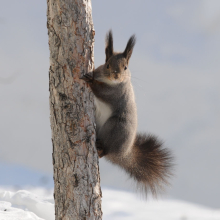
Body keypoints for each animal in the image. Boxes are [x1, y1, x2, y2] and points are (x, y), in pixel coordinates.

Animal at [81, 30, 174, 195]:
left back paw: (101, 148)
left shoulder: (116, 93)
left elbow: (101, 91)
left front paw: (91, 81)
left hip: (116, 128)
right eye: (107, 65)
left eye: (125, 67)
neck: (109, 82)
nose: (116, 75)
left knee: (107, 151)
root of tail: (124, 154)